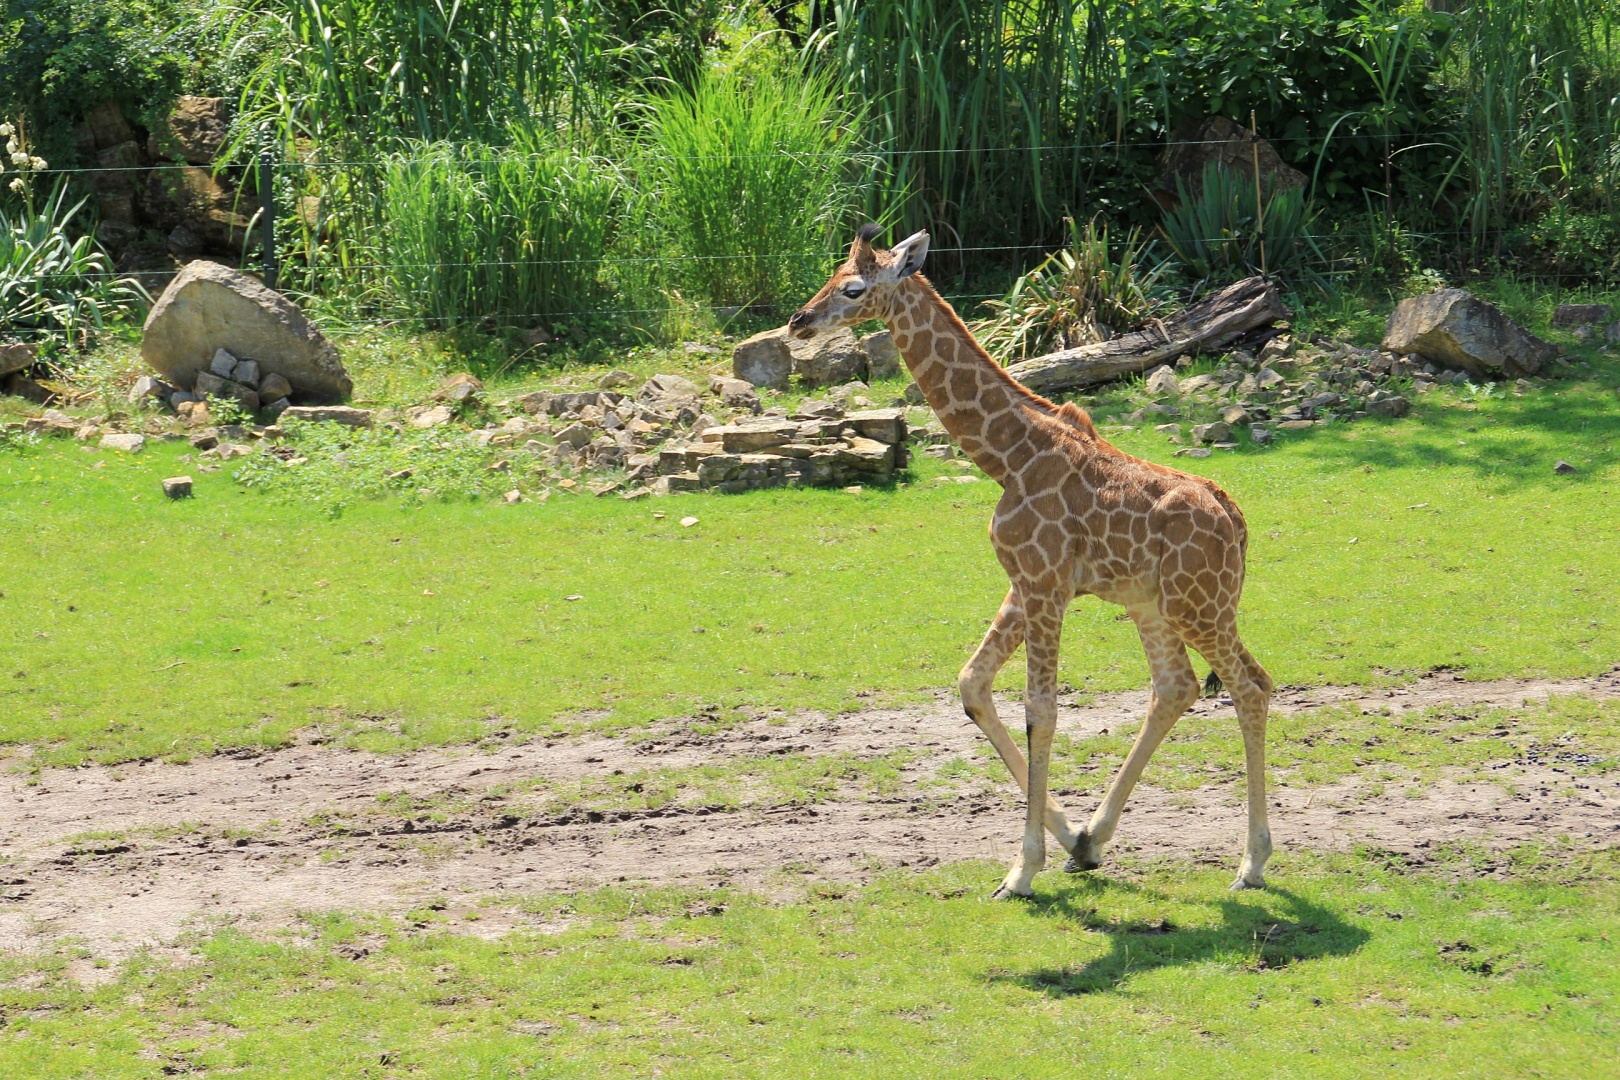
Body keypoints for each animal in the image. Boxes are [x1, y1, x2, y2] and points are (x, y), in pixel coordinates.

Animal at [787, 223, 1276, 900]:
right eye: (832, 276)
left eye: (853, 288)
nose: (798, 322)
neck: (1008, 455)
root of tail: (1237, 521)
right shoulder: (1026, 582)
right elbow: (972, 684)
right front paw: (1068, 839)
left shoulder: (1045, 583)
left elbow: (1040, 711)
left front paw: (1022, 870)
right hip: (1155, 604)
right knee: (1180, 686)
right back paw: (1096, 839)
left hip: (1197, 604)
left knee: (1249, 687)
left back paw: (1251, 863)